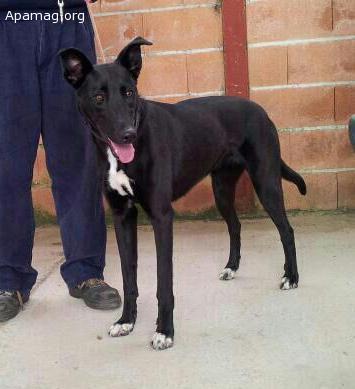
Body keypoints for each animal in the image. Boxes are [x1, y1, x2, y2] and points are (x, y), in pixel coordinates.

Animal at [59, 38, 308, 350]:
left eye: (129, 92)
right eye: (99, 97)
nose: (128, 134)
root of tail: (260, 110)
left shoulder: (162, 216)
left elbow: (164, 282)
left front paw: (165, 331)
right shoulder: (122, 216)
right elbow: (129, 278)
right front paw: (126, 321)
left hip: (266, 183)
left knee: (287, 230)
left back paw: (291, 276)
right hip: (222, 189)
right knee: (235, 226)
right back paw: (231, 267)